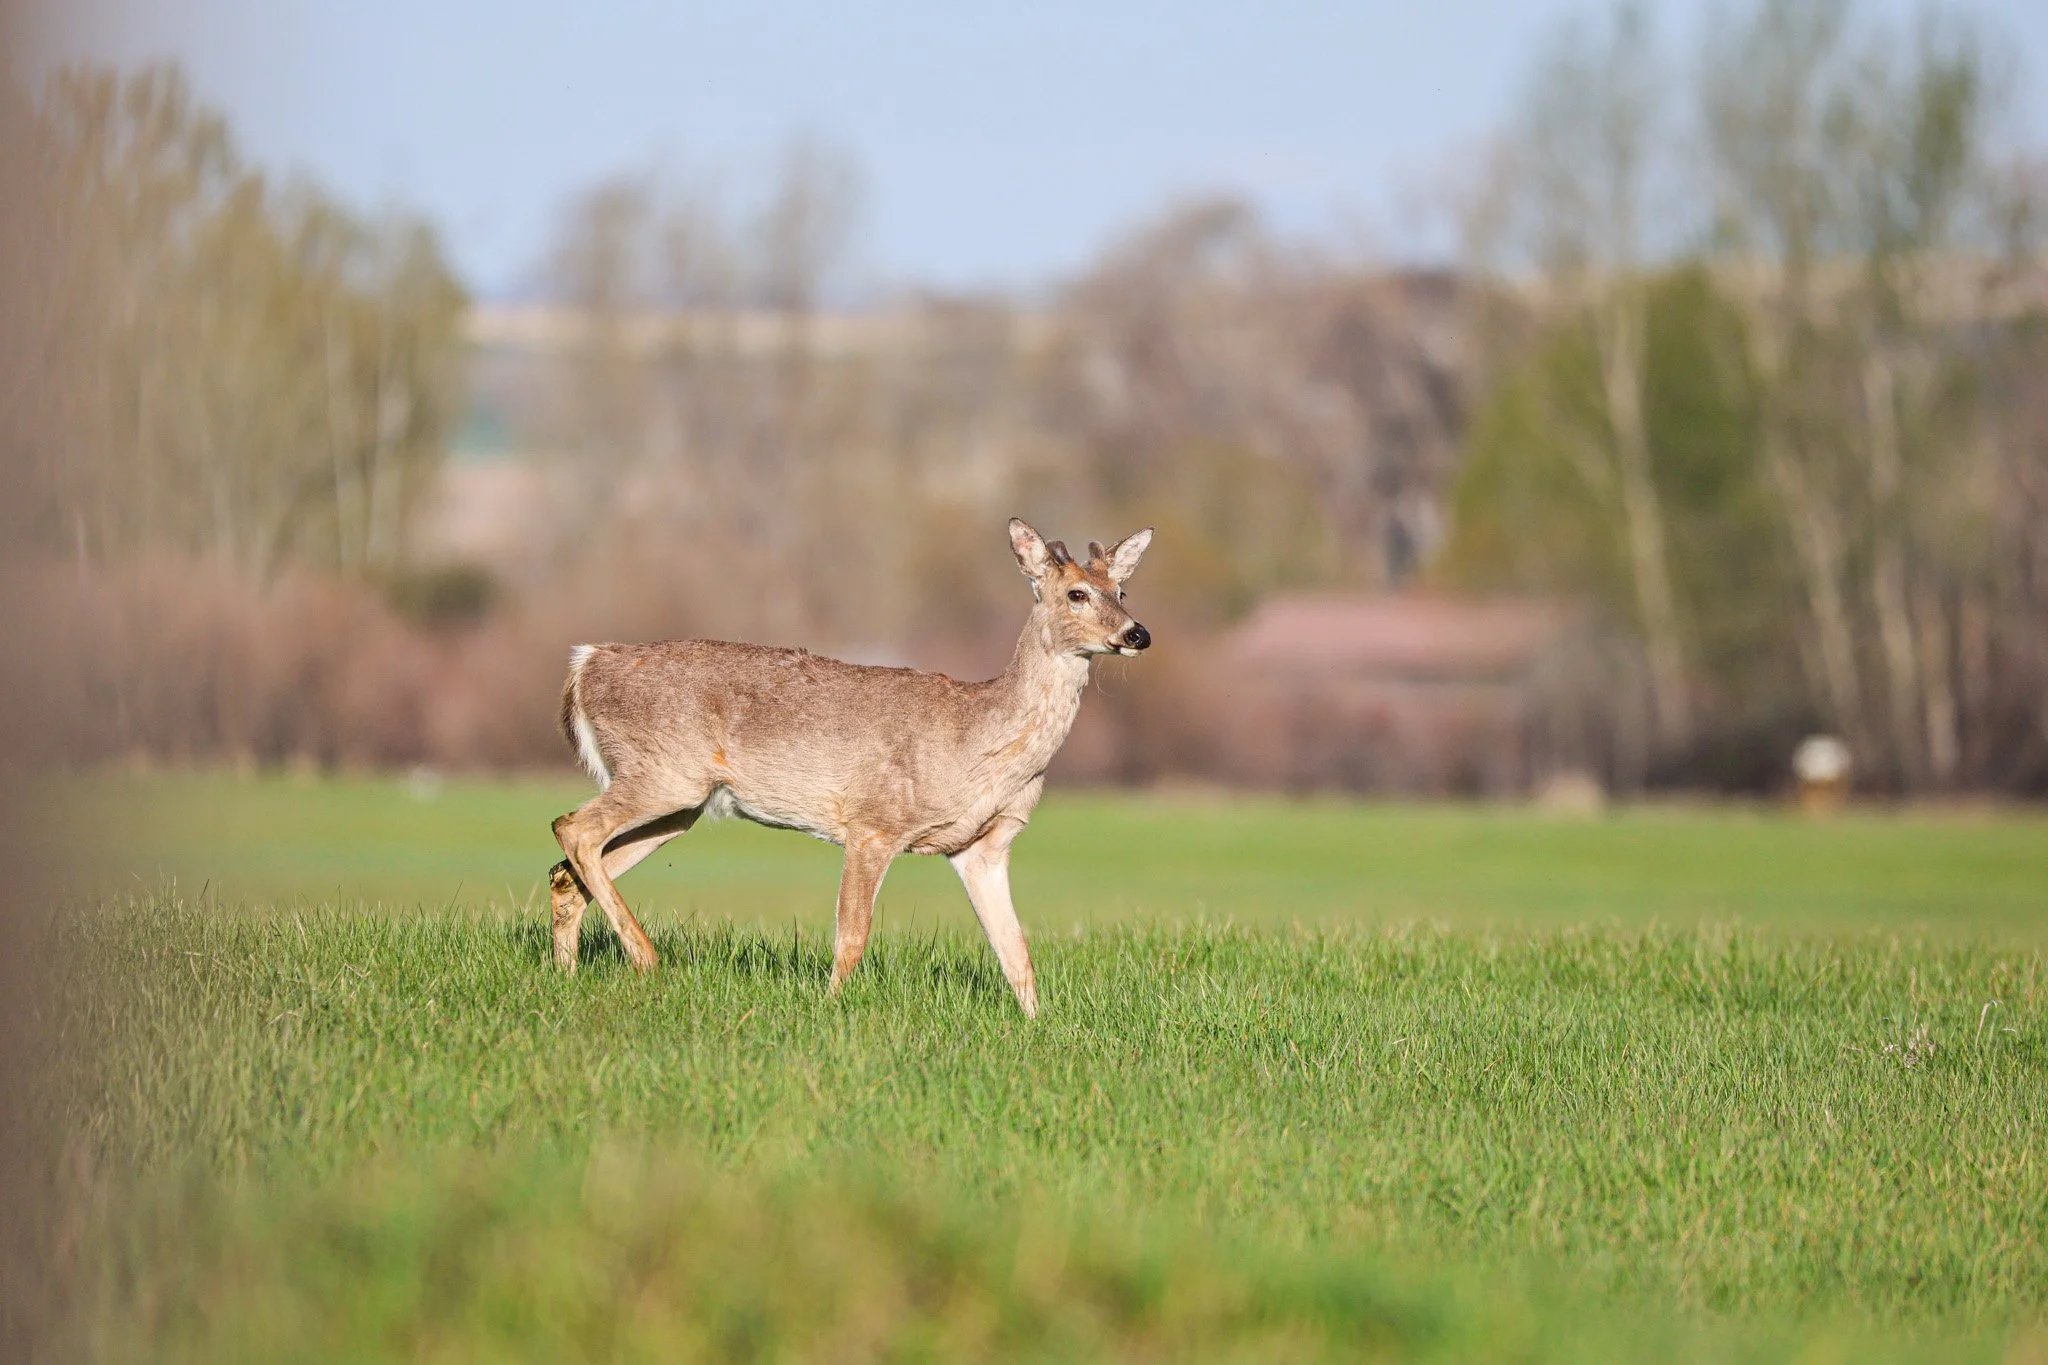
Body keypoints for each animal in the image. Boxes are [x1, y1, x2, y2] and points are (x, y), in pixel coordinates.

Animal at [544, 518, 1153, 1018]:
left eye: (1122, 591)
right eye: (1076, 593)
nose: (1136, 633)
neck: (977, 739)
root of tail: (587, 663)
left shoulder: (983, 846)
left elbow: (1016, 951)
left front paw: (1038, 1027)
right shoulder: (873, 822)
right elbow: (852, 938)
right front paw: (832, 1011)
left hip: (683, 802)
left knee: (567, 871)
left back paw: (568, 976)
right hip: (661, 774)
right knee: (572, 828)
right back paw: (646, 959)